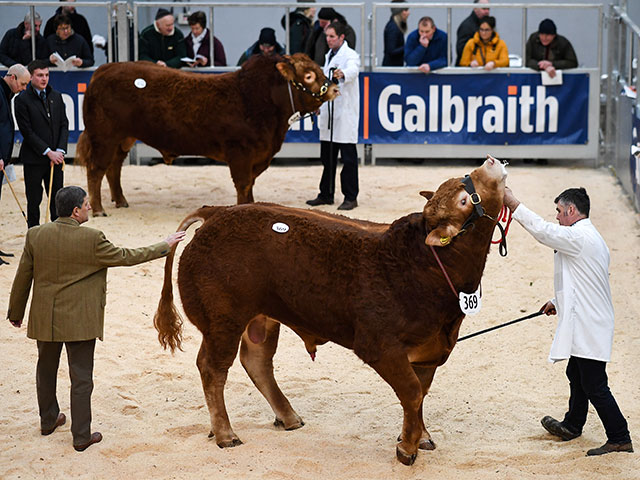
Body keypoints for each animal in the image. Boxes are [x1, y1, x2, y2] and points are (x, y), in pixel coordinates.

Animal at [152, 157, 508, 464]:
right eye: (463, 199)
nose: (490, 160)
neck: (426, 263)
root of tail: (217, 213)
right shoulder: (381, 347)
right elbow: (411, 393)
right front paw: (407, 448)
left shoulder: (429, 351)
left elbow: (420, 394)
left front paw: (421, 436)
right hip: (223, 320)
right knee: (213, 368)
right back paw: (226, 432)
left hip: (261, 317)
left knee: (256, 361)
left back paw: (287, 416)